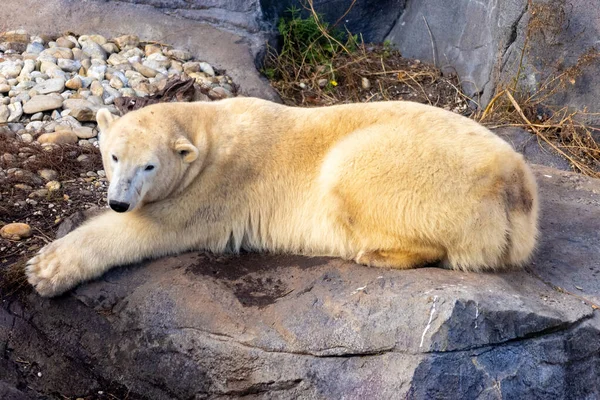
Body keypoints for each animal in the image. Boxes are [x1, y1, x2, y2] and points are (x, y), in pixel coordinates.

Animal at [25, 97, 540, 296]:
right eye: (112, 156)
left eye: (148, 166)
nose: (119, 201)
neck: (209, 131)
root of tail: (517, 184)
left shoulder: (218, 186)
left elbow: (153, 228)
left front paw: (45, 268)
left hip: (418, 167)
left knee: (350, 170)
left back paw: (377, 253)